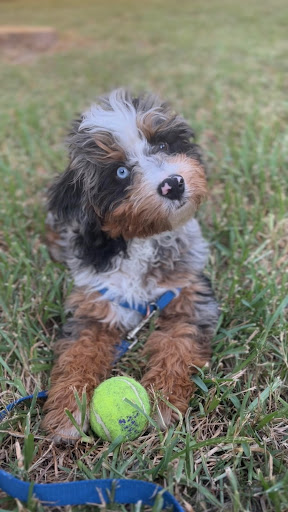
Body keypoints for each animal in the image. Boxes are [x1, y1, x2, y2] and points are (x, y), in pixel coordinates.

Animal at [42, 88, 218, 440]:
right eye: (121, 172)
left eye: (162, 146)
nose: (173, 184)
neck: (142, 240)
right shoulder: (96, 303)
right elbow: (77, 353)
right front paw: (68, 410)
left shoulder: (188, 296)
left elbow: (179, 347)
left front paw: (164, 400)